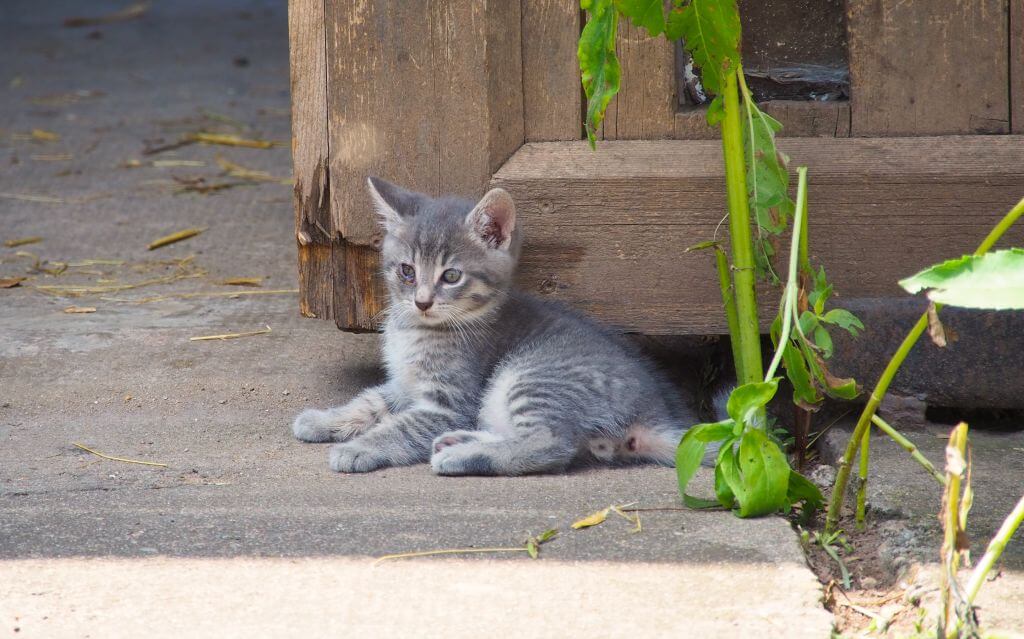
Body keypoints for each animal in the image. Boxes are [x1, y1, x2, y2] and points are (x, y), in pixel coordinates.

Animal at [292, 176, 700, 475]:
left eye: (451, 276)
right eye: (407, 271)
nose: (422, 301)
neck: (415, 331)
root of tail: (655, 413)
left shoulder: (450, 403)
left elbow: (401, 426)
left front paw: (358, 448)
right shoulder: (405, 386)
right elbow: (370, 400)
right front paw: (323, 419)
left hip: (532, 378)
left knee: (550, 444)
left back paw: (460, 456)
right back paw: (461, 442)